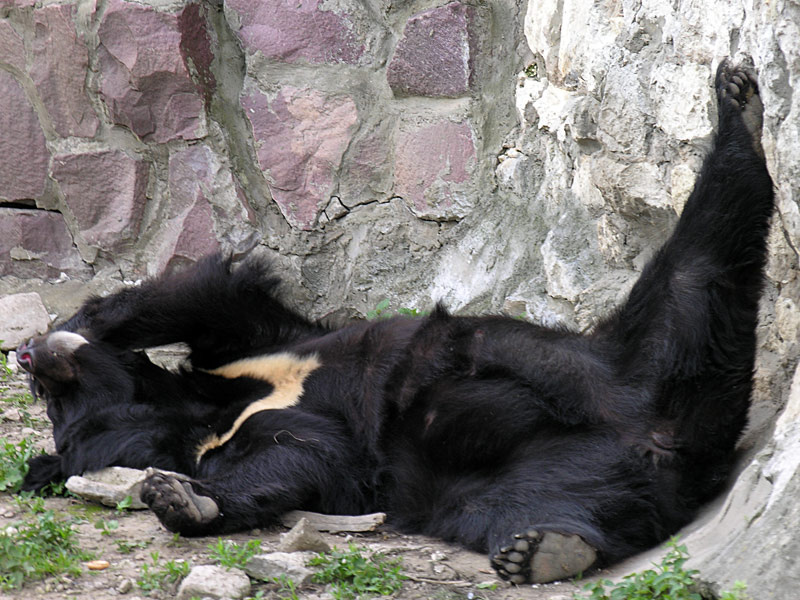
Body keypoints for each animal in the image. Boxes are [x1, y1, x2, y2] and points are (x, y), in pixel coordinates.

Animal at [17, 60, 774, 585]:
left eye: (54, 398)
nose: (29, 359)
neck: (206, 413)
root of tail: (673, 451)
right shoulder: (270, 445)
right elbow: (298, 461)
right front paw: (183, 499)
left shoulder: (271, 347)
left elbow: (215, 298)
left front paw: (93, 318)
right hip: (534, 477)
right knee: (539, 497)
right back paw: (543, 550)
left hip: (618, 357)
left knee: (697, 254)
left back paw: (738, 105)